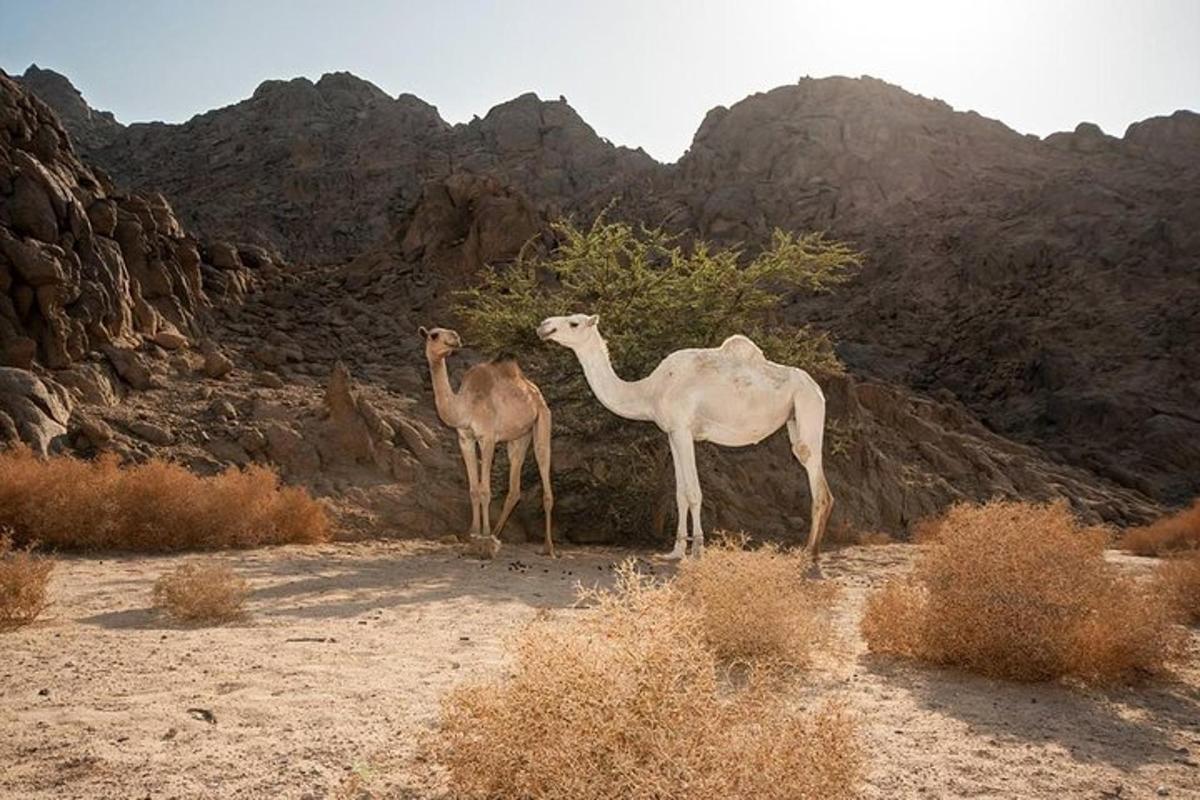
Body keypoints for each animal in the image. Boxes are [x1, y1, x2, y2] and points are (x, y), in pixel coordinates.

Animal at [420, 326, 554, 556]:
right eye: (434, 335)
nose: (455, 338)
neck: (464, 407)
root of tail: (533, 390)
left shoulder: (488, 438)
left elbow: (485, 490)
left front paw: (483, 532)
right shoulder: (465, 439)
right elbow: (474, 489)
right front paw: (472, 533)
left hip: (542, 421)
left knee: (544, 468)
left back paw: (549, 547)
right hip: (520, 437)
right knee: (515, 487)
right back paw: (497, 534)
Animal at [537, 311, 835, 556]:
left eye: (574, 323)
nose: (543, 326)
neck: (649, 391)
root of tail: (817, 388)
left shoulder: (683, 429)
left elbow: (693, 492)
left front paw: (698, 550)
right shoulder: (672, 433)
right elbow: (679, 493)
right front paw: (676, 551)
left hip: (808, 406)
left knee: (817, 483)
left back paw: (810, 554)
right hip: (795, 417)